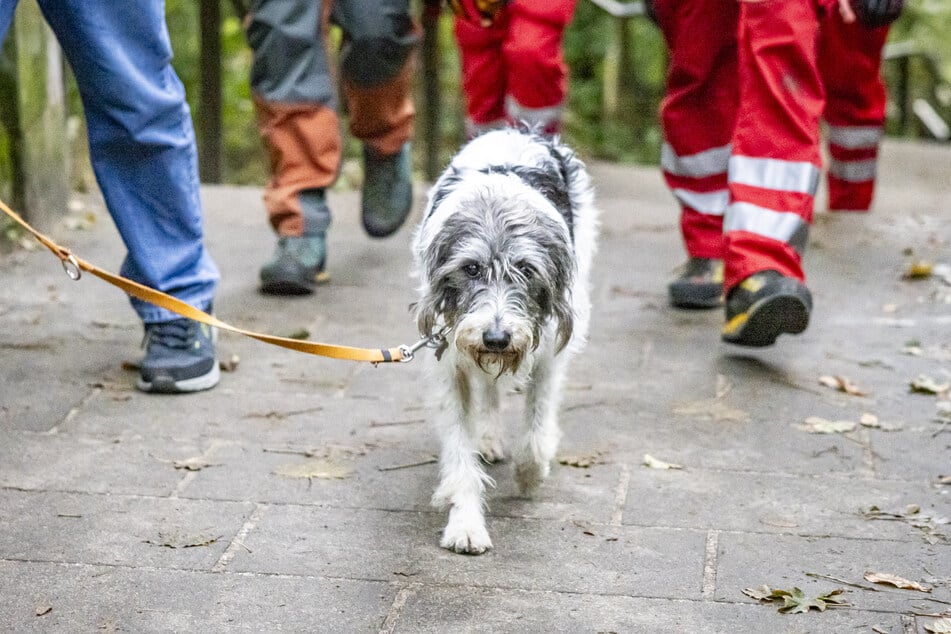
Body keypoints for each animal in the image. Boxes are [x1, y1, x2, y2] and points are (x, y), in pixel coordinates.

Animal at [412, 126, 600, 552]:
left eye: (527, 270)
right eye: (471, 268)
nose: (497, 338)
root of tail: (518, 129)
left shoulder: (548, 354)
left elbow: (536, 425)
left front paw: (531, 473)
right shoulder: (451, 364)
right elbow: (459, 450)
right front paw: (465, 523)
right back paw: (488, 437)